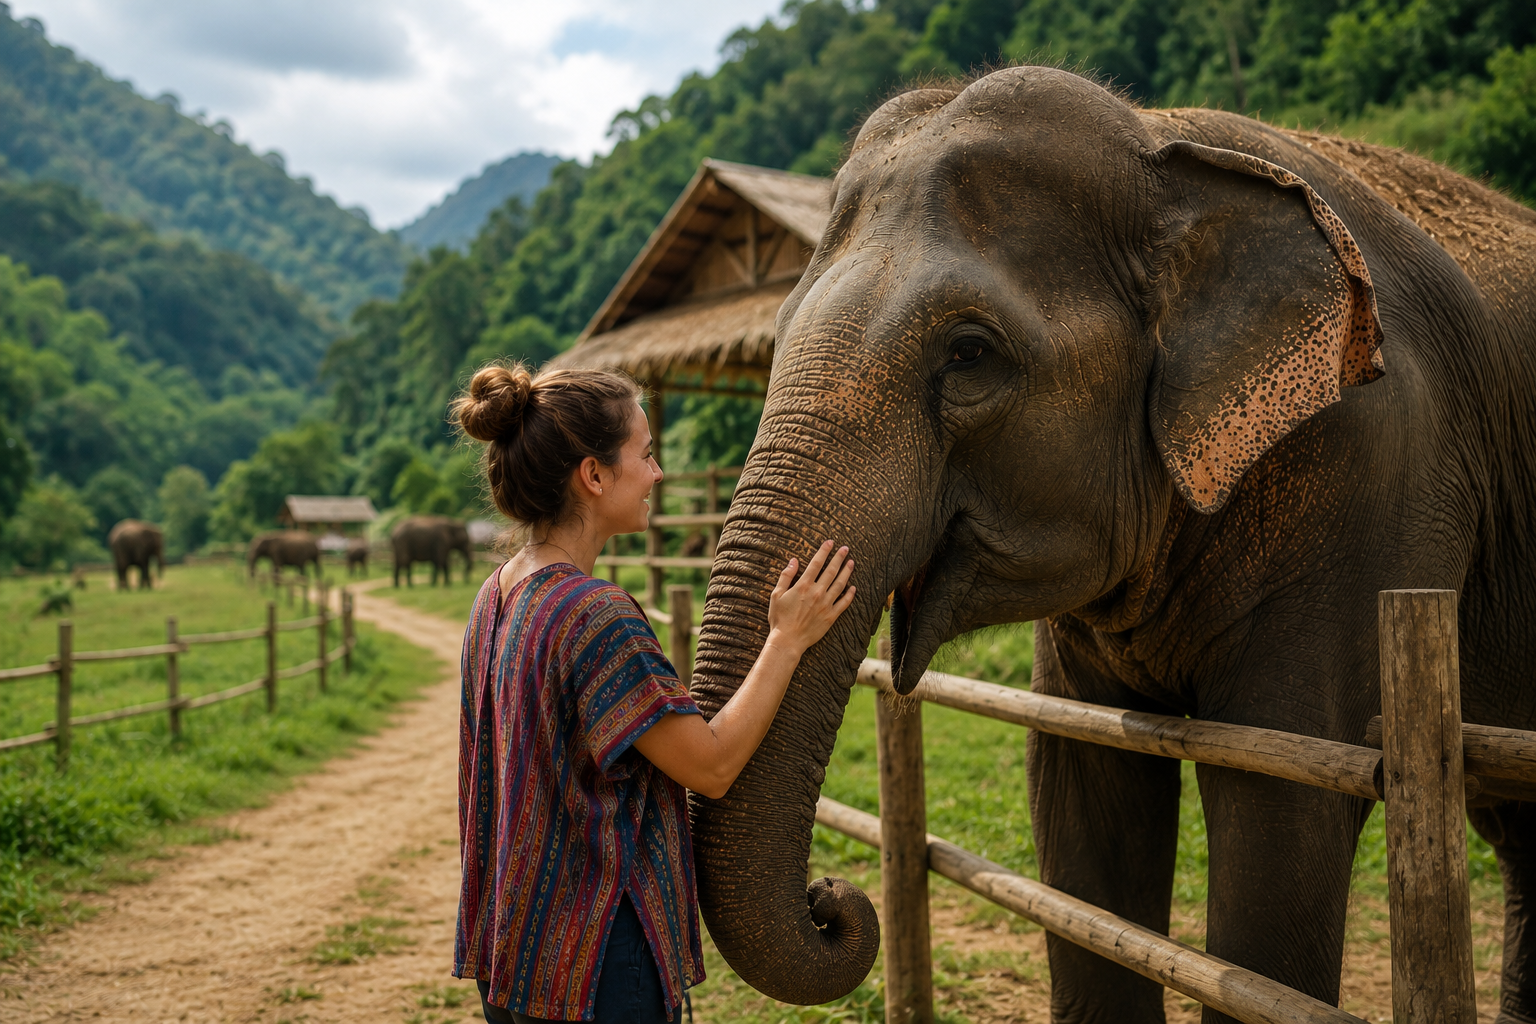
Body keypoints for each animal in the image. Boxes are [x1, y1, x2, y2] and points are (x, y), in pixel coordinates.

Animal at [685, 67, 1536, 1022]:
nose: (833, 901)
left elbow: (1283, 816)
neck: (1162, 146)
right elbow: (1081, 795)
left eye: (970, 353)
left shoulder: (1379, 477)